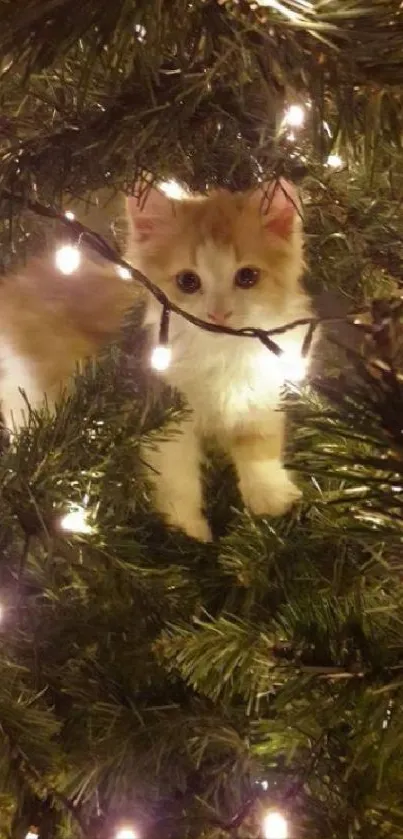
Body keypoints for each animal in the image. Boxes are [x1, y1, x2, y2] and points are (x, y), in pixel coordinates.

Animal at [127, 180, 316, 540]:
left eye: (247, 277)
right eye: (188, 281)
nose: (218, 314)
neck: (221, 355)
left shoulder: (264, 393)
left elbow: (259, 450)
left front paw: (270, 497)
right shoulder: (164, 412)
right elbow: (177, 474)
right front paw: (186, 529)